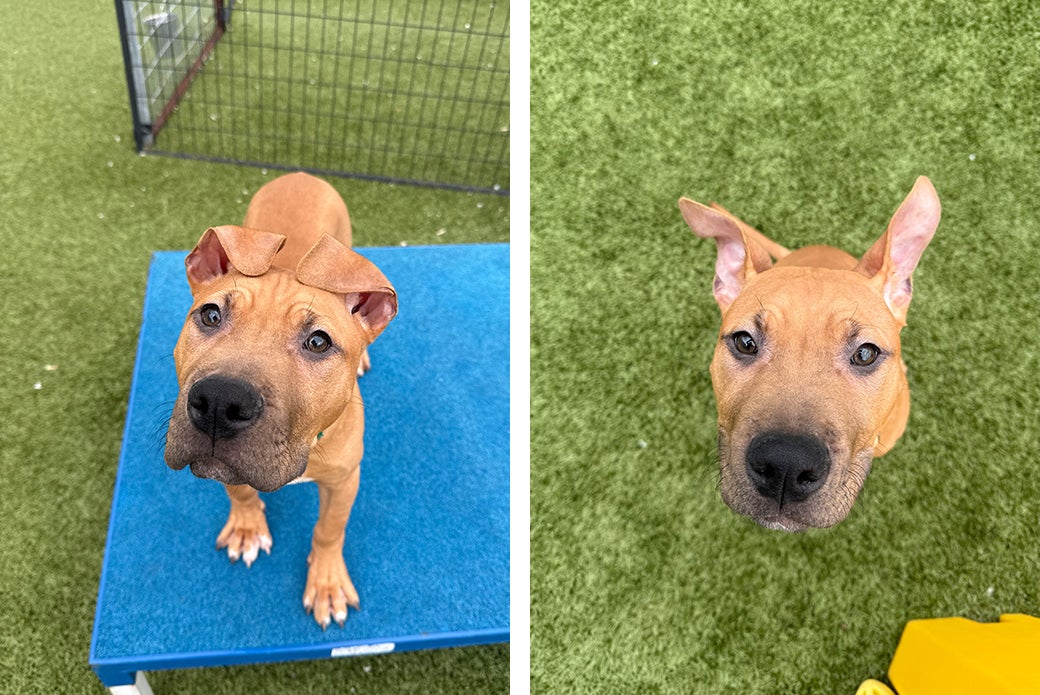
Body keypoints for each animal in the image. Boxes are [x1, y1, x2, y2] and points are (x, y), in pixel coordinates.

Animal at [164, 172, 397, 627]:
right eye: (211, 315)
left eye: (318, 342)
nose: (219, 403)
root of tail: (300, 175)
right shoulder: (219, 463)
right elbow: (237, 490)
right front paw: (246, 527)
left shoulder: (345, 479)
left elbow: (329, 529)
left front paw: (326, 584)